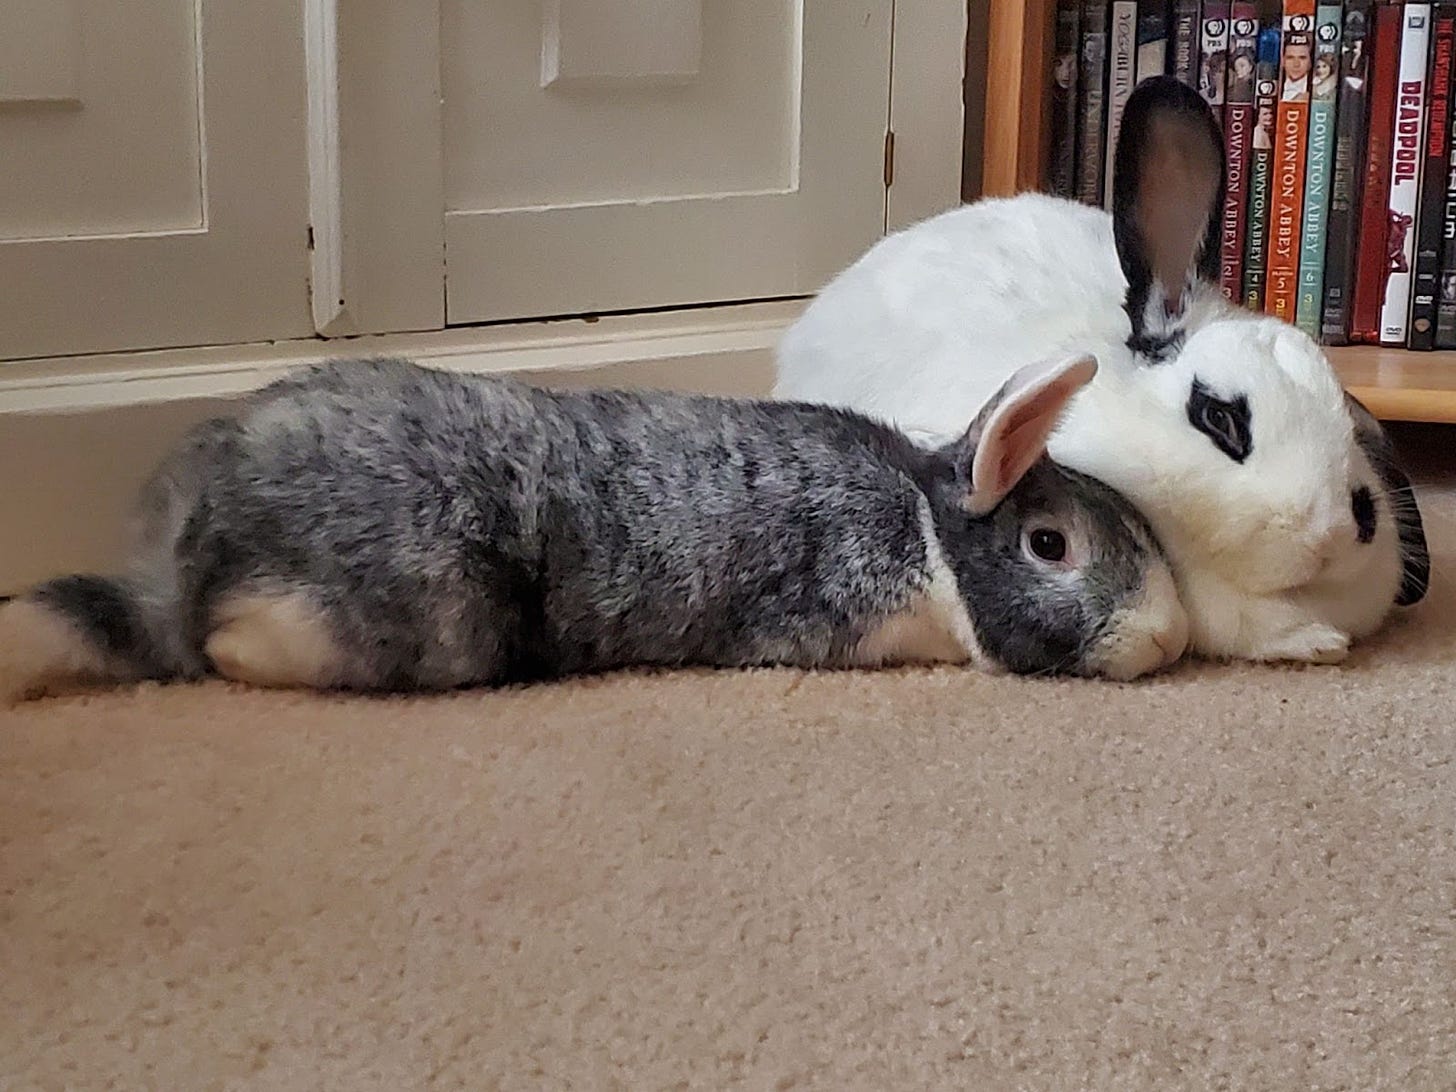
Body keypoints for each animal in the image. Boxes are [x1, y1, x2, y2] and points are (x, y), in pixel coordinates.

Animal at [0, 355, 1188, 704]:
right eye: (1050, 546)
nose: (1173, 636)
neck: (928, 533)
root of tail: (185, 551)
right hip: (424, 620)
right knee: (229, 650)